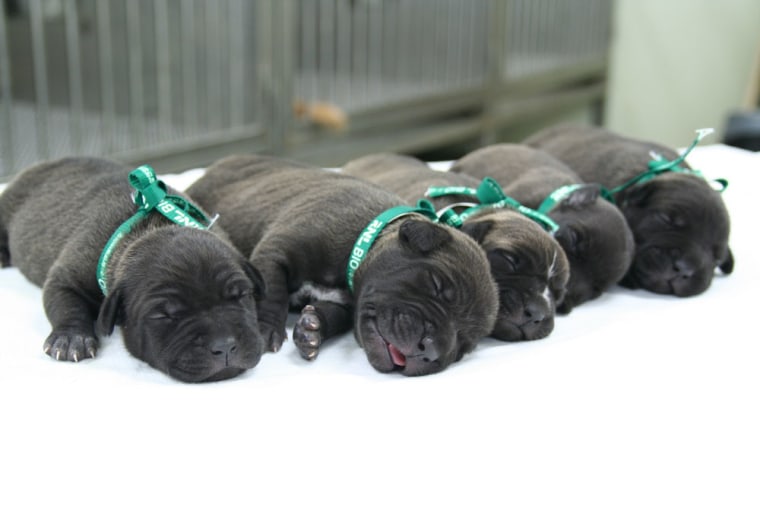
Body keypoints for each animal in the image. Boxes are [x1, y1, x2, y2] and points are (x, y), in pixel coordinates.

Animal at [0, 156, 268, 380]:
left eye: (242, 296)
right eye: (163, 315)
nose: (224, 345)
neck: (153, 226)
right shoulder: (67, 277)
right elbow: (65, 304)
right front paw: (70, 338)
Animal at [186, 154, 498, 374]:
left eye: (463, 345)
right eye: (435, 285)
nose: (430, 351)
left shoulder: (344, 304)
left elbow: (333, 316)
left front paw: (312, 330)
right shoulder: (275, 250)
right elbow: (272, 292)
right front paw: (264, 331)